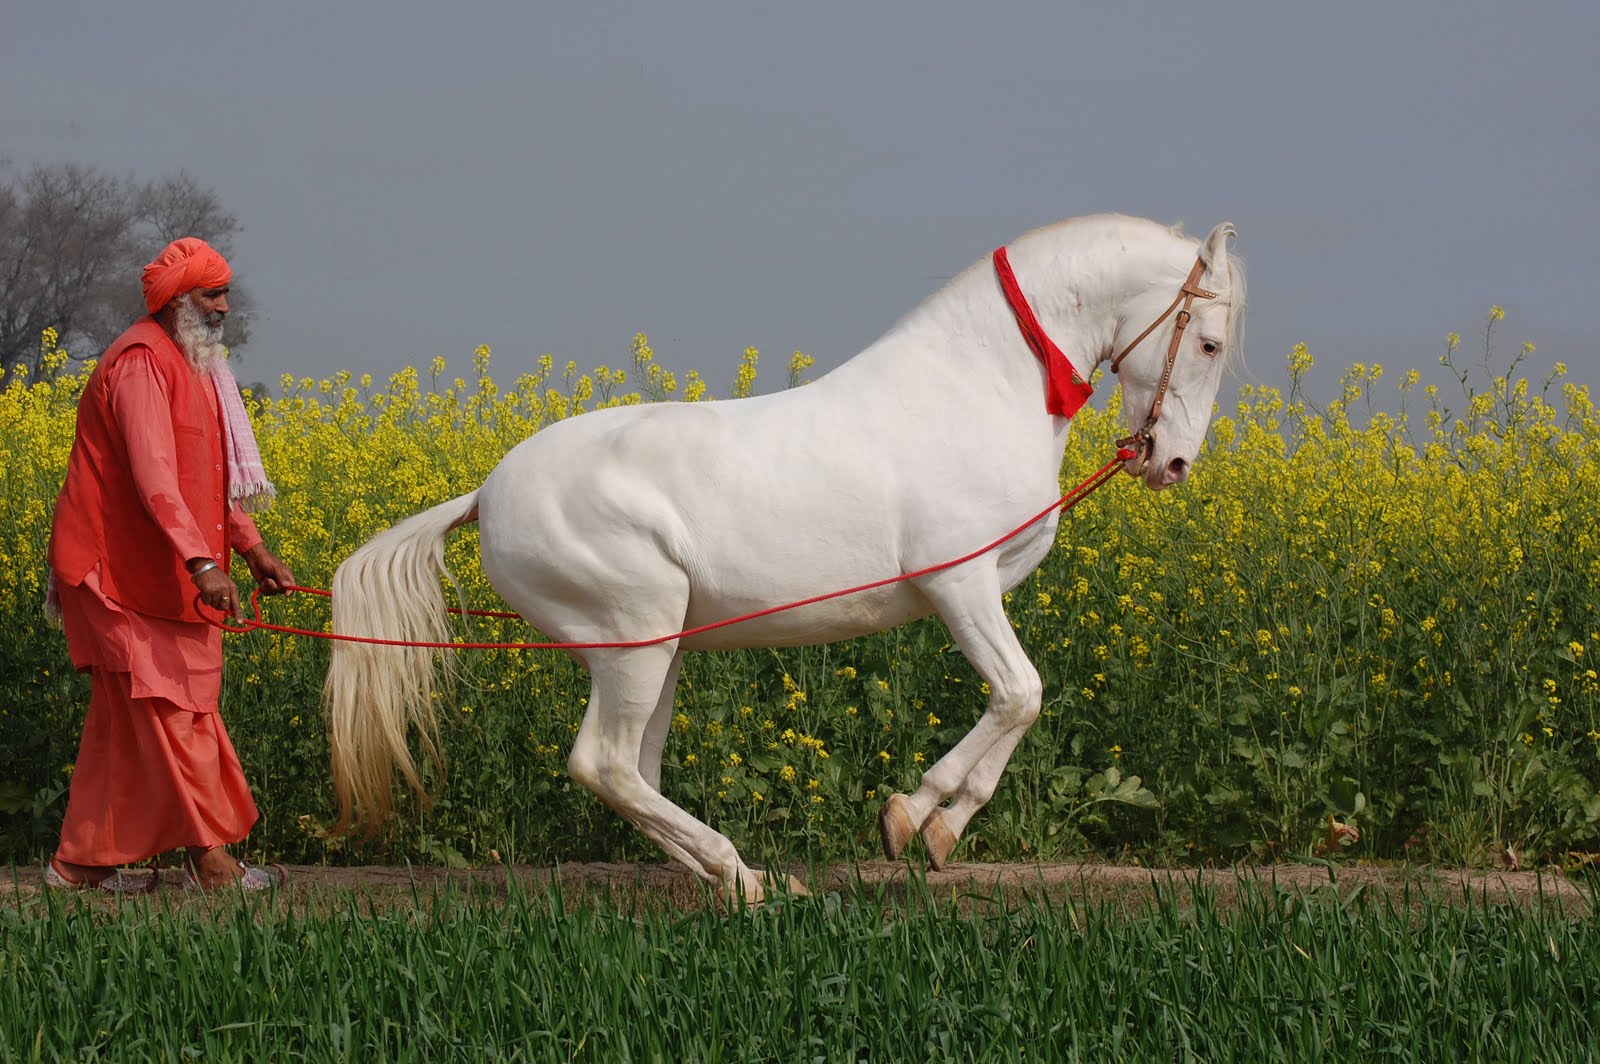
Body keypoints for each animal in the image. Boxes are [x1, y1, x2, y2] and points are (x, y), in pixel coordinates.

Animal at [324, 213, 1245, 902]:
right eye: (1208, 343)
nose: (1171, 464)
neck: (981, 388)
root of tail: (487, 493)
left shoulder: (977, 591)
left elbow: (1020, 702)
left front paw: (939, 831)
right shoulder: (959, 584)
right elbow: (1021, 693)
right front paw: (910, 819)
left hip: (654, 651)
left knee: (635, 771)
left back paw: (744, 879)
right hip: (634, 637)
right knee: (605, 765)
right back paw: (744, 876)